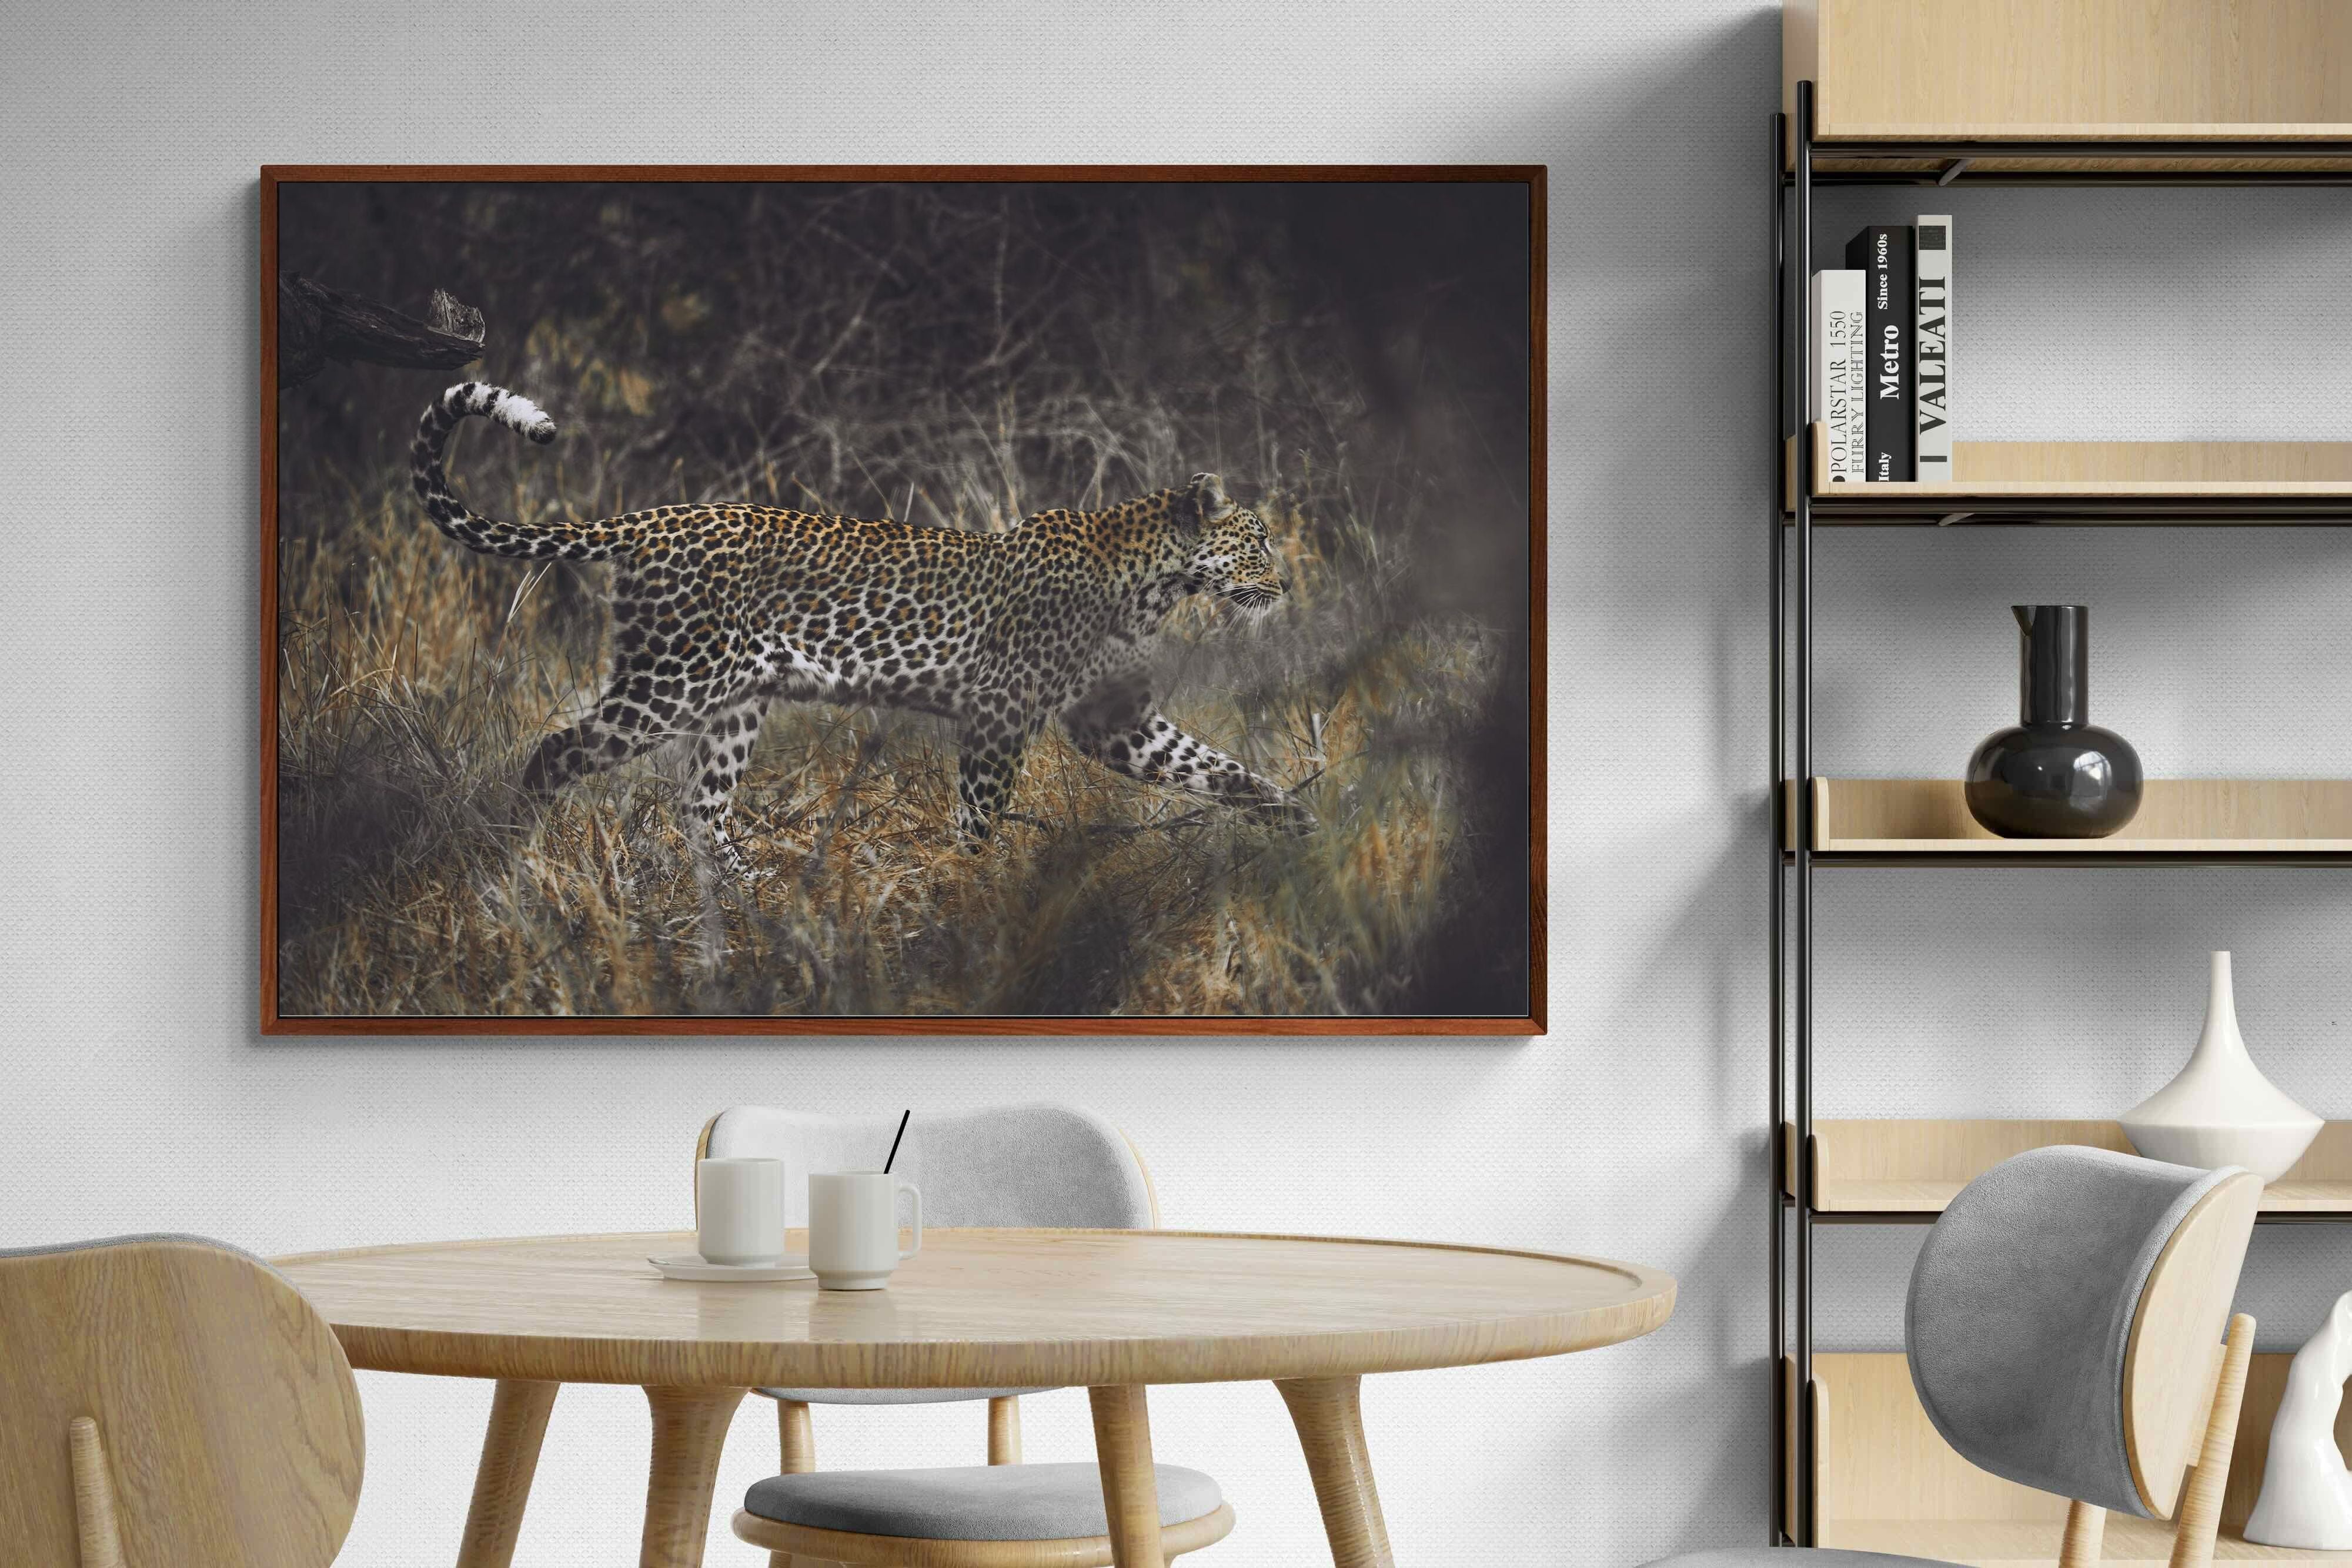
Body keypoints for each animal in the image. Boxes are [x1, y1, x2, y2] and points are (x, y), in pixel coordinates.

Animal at [410, 381, 1314, 873]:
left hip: (736, 699)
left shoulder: (1113, 722)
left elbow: (1215, 767)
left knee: (702, 808)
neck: (1154, 583)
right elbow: (979, 815)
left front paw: (1298, 820)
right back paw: (517, 858)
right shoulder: (1000, 711)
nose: (1285, 581)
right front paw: (971, 894)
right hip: (671, 682)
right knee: (555, 753)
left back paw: (758, 902)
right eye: (1259, 539)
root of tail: (652, 518)